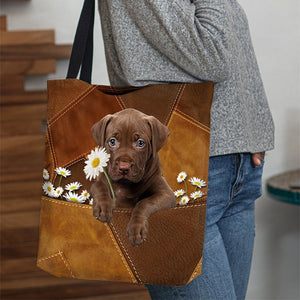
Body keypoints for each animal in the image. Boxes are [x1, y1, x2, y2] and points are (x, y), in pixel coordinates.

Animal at [90, 108, 177, 246]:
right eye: (112, 141)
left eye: (140, 143)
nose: (123, 168)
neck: (125, 184)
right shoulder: (101, 179)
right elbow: (99, 185)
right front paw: (103, 206)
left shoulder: (166, 195)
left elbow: (144, 203)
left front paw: (137, 228)